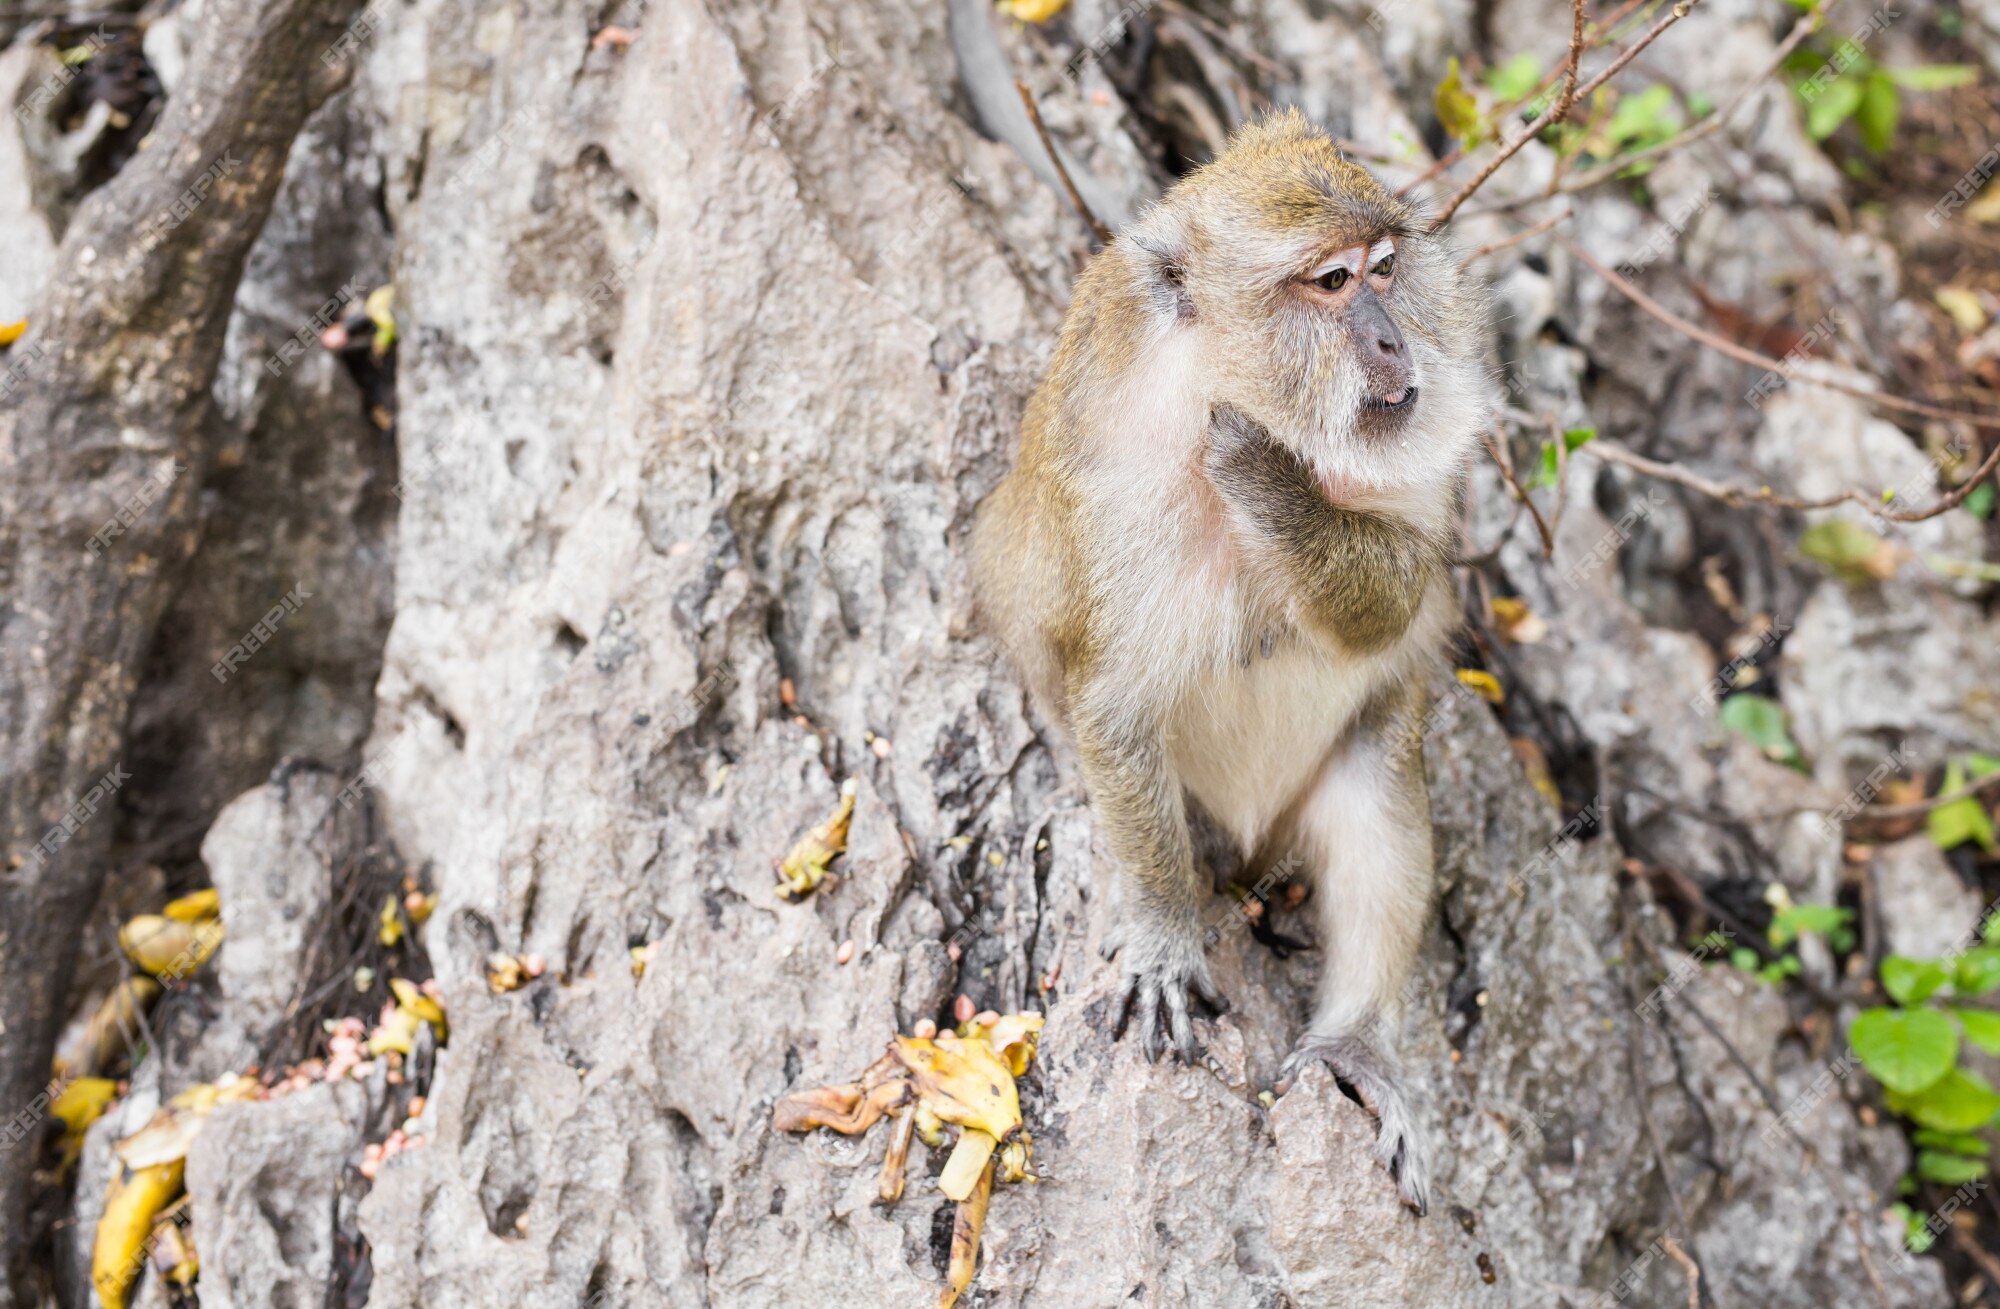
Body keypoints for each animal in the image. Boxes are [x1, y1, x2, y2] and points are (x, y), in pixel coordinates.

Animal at [968, 107, 1488, 1216]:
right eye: (1329, 282)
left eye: (1385, 268)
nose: (1392, 339)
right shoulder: (1119, 489)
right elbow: (1114, 703)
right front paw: (1165, 928)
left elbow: (1399, 594)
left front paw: (1271, 482)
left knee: (1378, 783)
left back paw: (1354, 1044)